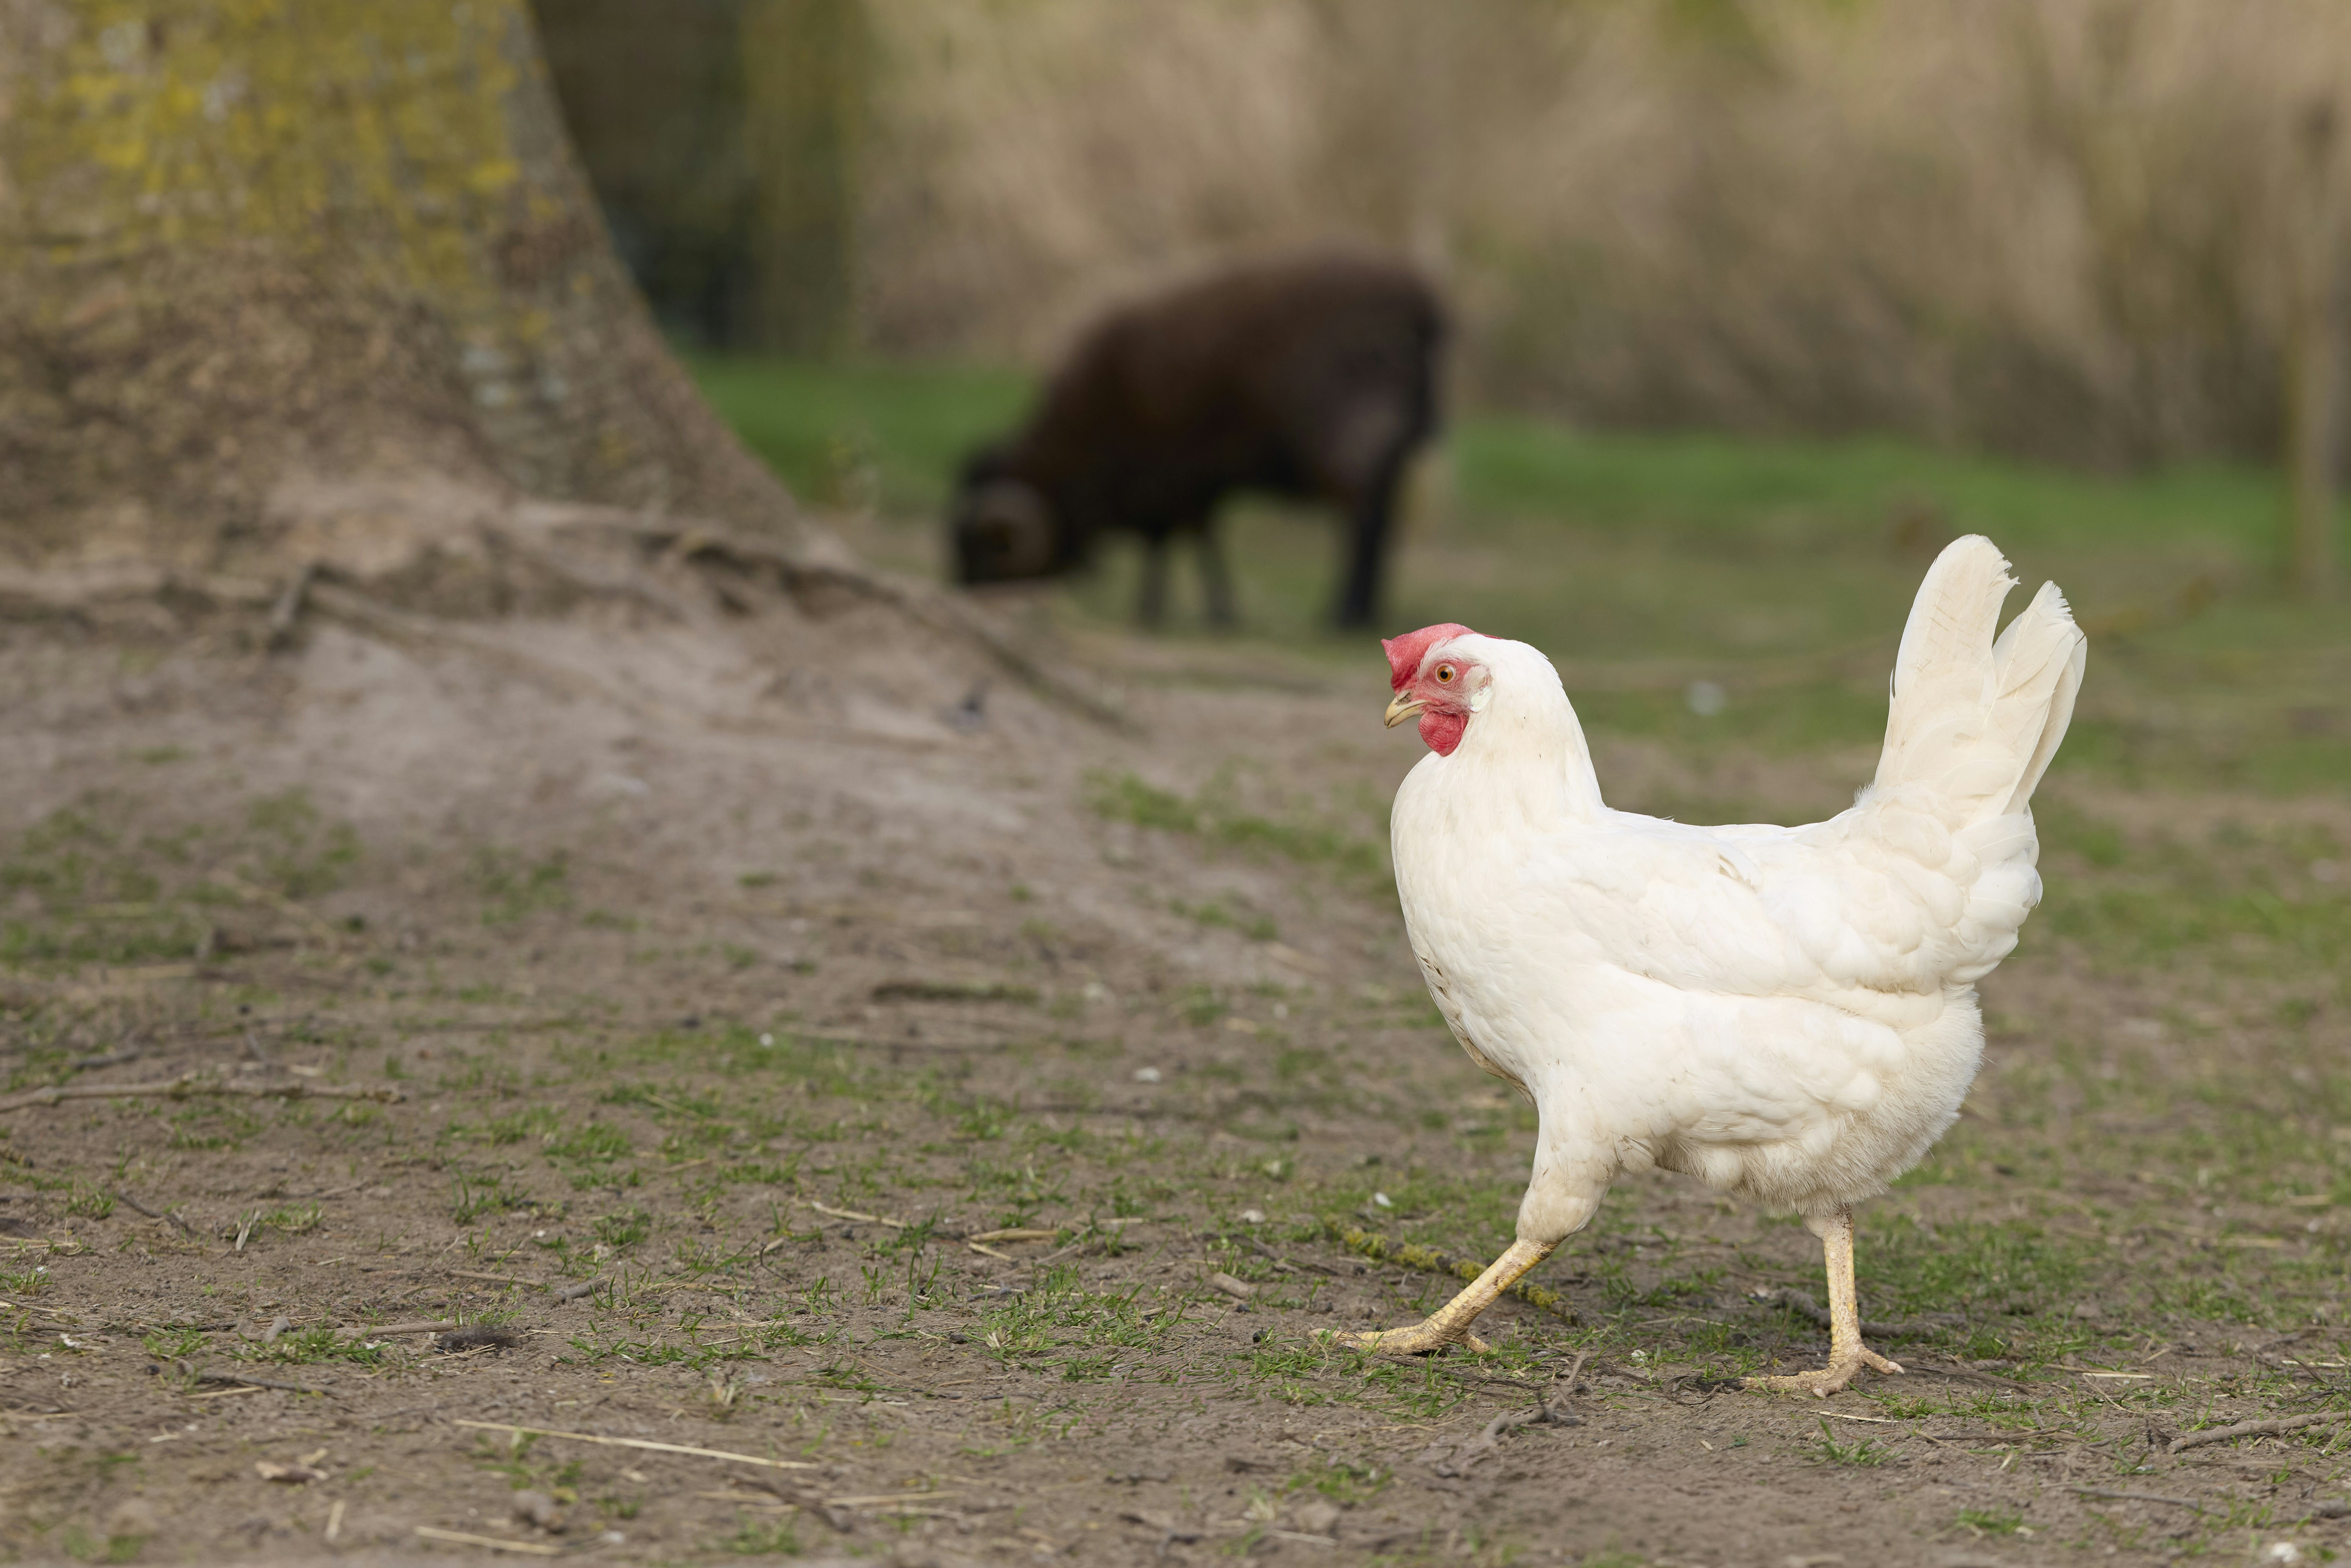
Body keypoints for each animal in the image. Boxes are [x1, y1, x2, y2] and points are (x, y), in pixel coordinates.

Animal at [948, 253, 1443, 629]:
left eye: (987, 549)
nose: (965, 596)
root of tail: (1422, 309)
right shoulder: (1176, 483)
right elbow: (1181, 541)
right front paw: (1175, 609)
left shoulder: (1174, 477)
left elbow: (1186, 541)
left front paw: (1193, 612)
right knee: (1379, 524)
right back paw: (1362, 616)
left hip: (1352, 442)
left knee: (1363, 525)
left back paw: (1341, 617)